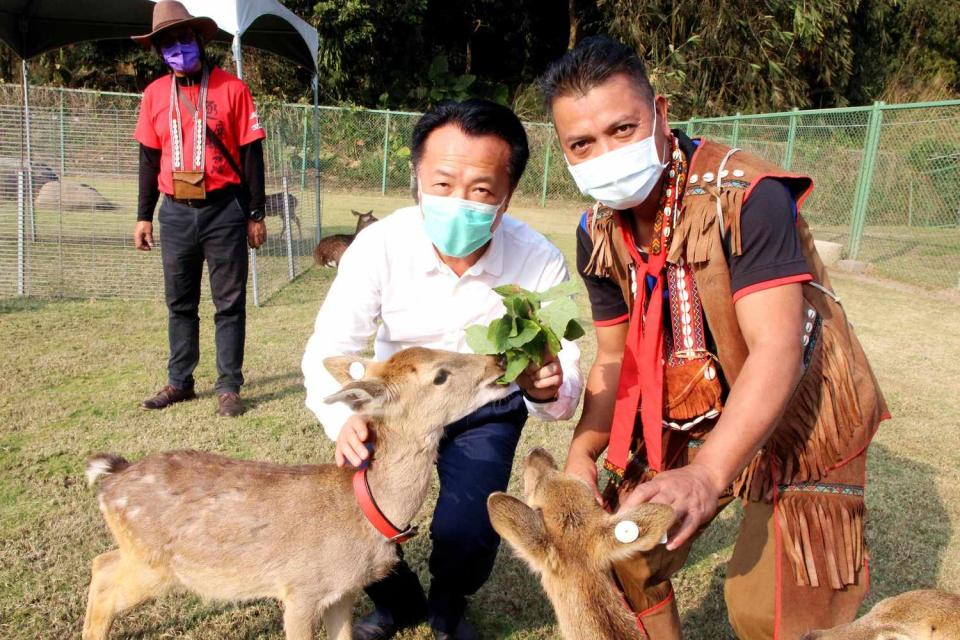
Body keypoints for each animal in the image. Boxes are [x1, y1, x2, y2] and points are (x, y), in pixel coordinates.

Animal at [82, 348, 510, 640]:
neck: (362, 513)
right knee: (106, 585)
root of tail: (112, 479)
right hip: (153, 562)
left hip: (139, 556)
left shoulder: (342, 591)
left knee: (101, 562)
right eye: (440, 376)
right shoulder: (299, 589)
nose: (498, 359)